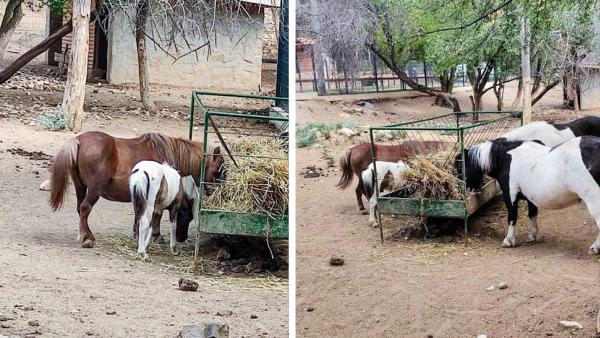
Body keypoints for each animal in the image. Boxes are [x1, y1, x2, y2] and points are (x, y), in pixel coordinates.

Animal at [49, 132, 225, 248]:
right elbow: (156, 215)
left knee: (80, 209)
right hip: (94, 190)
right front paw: (156, 236)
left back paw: (89, 235)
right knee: (85, 208)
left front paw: (137, 234)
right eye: (218, 170)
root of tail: (78, 140)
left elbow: (138, 213)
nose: (219, 193)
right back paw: (86, 239)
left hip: (80, 187)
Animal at [460, 136, 600, 255]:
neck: (505, 158)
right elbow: (532, 214)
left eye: (461, 167)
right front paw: (534, 235)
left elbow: (512, 217)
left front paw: (509, 241)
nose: (465, 191)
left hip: (594, 200)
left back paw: (595, 248)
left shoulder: (510, 195)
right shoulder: (531, 197)